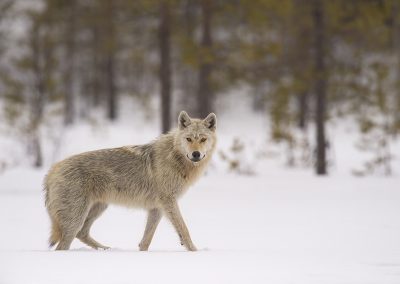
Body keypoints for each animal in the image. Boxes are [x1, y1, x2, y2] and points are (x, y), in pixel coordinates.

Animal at [44, 111, 217, 251]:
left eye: (203, 139)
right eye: (189, 139)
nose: (196, 154)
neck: (175, 158)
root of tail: (52, 171)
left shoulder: (157, 208)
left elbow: (146, 241)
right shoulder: (168, 202)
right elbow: (184, 229)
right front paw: (194, 252)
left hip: (99, 208)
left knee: (82, 233)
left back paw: (106, 249)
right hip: (77, 219)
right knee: (63, 246)